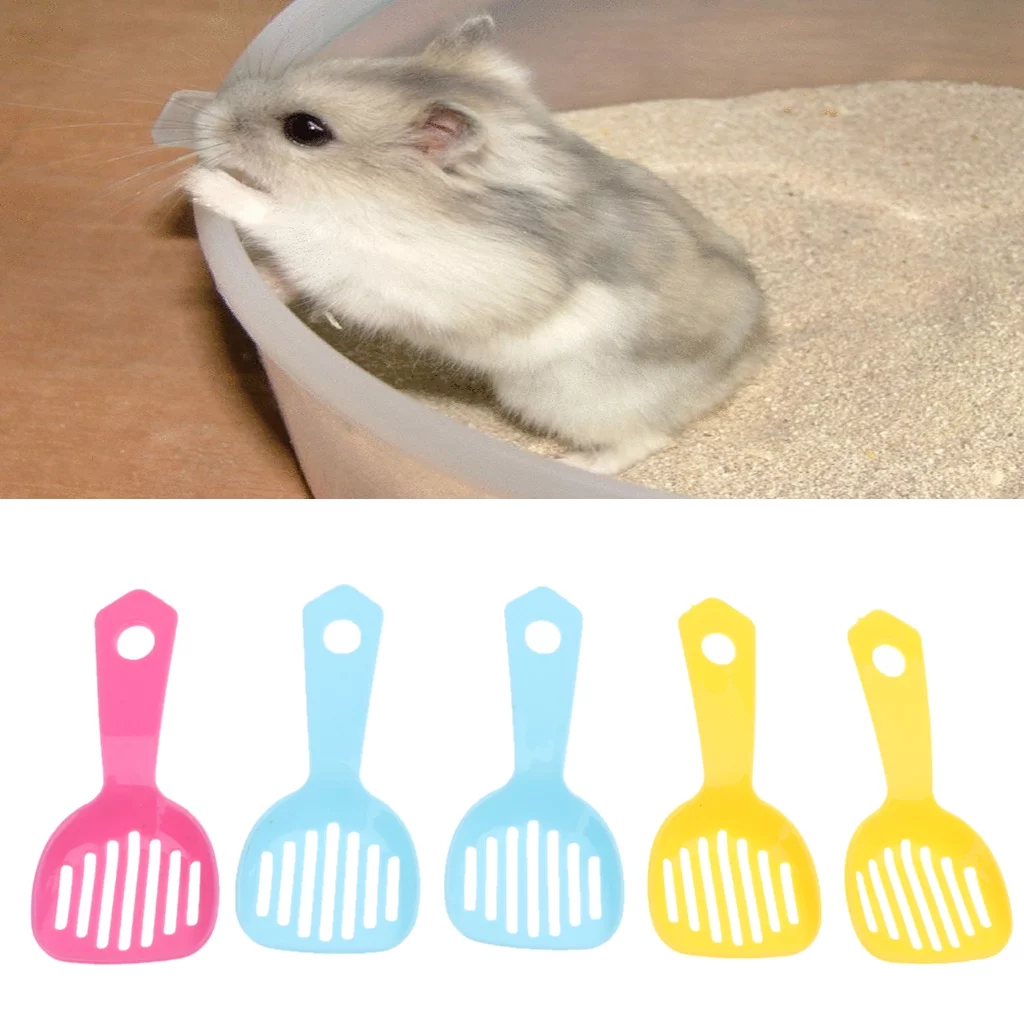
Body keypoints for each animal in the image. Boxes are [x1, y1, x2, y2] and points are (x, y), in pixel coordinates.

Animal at [183, 14, 767, 475]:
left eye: (305, 130)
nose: (201, 121)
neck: (383, 192)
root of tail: (752, 355)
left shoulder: (363, 260)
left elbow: (286, 223)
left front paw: (201, 181)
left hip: (560, 398)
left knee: (645, 439)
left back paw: (574, 465)